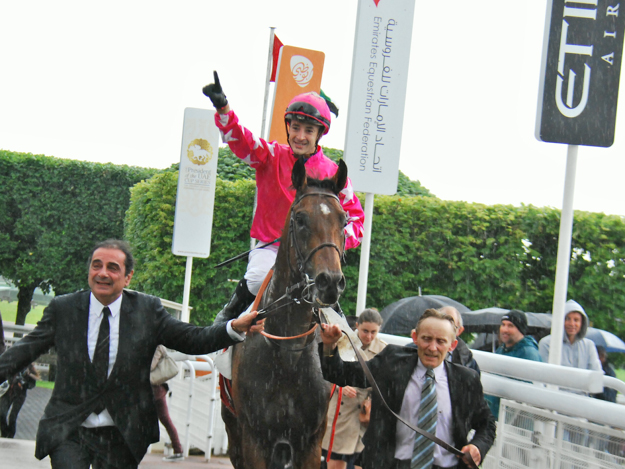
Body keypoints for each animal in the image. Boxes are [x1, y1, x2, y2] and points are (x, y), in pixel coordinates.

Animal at [223, 158, 352, 468]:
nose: (330, 282)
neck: (289, 351)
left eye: (344, 221)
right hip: (234, 432)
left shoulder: (310, 441)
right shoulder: (254, 438)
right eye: (301, 219)